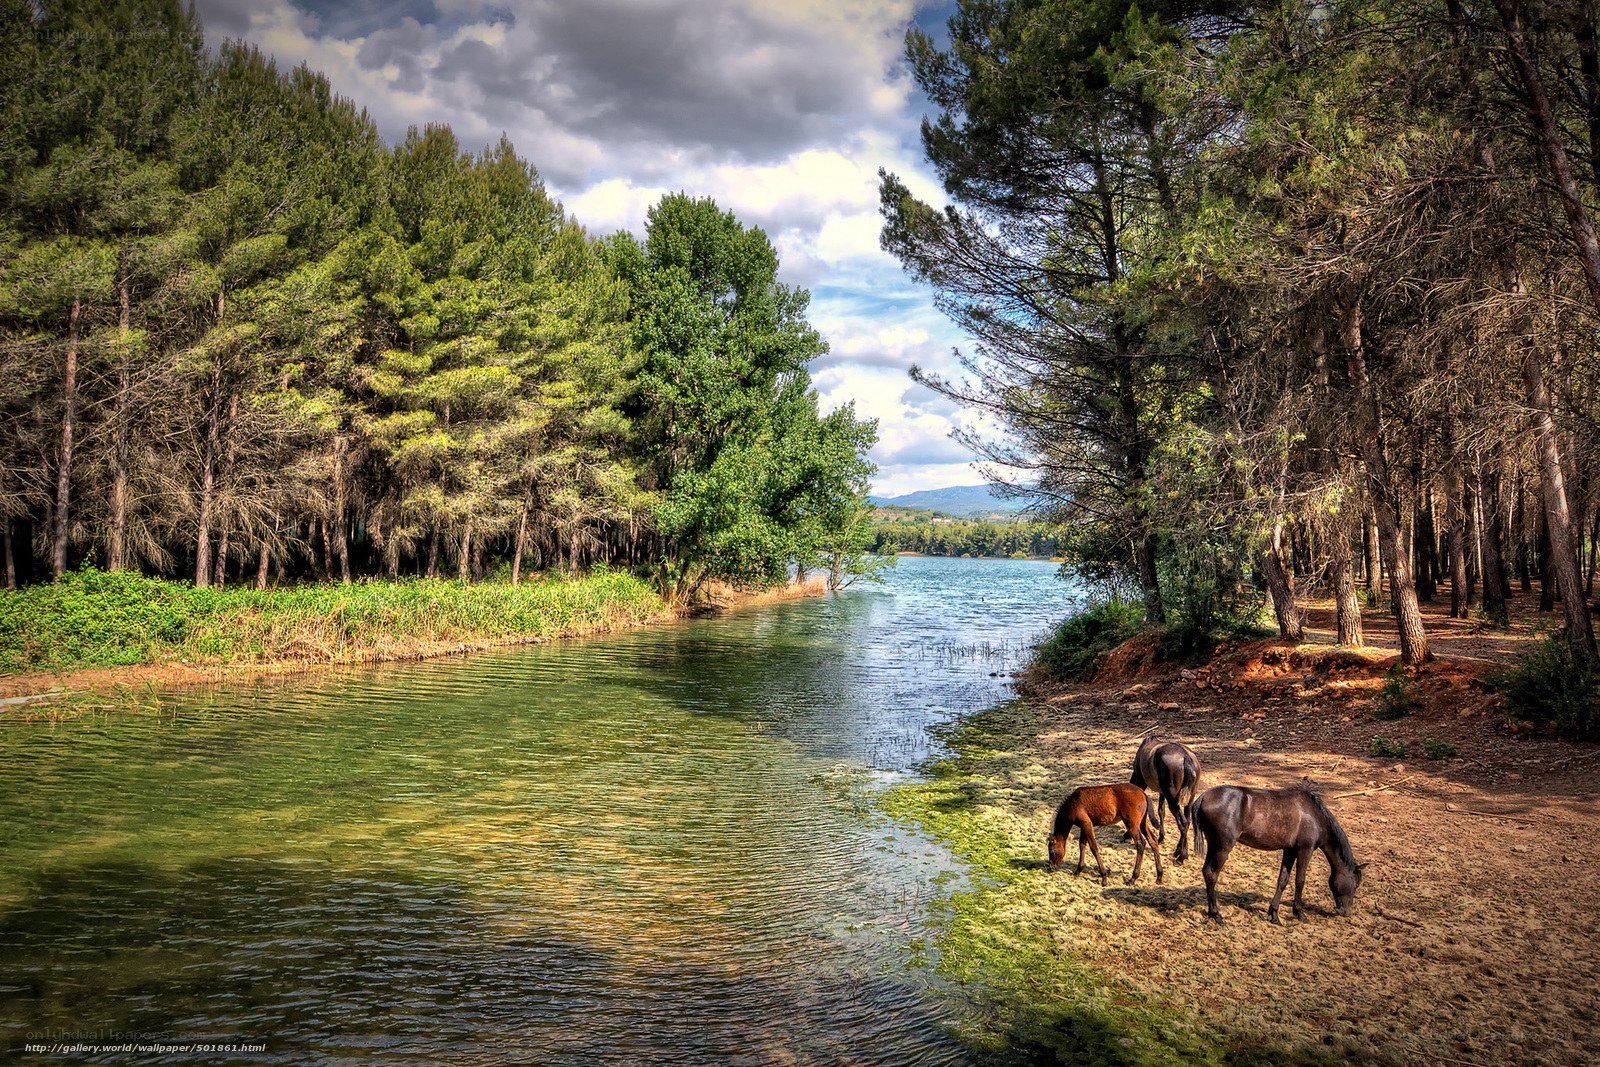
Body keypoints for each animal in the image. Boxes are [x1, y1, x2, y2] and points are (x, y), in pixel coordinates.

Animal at [1188, 785, 1365, 925]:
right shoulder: (1304, 850)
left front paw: (1274, 913)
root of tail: (1203, 797)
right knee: (1212, 875)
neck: (1313, 814)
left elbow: (1283, 880)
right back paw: (1216, 915)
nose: (1346, 912)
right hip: (1222, 848)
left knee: (1206, 872)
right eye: (1355, 884)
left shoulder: (1289, 850)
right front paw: (1299, 913)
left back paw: (1212, 912)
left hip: (1214, 845)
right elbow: (1300, 881)